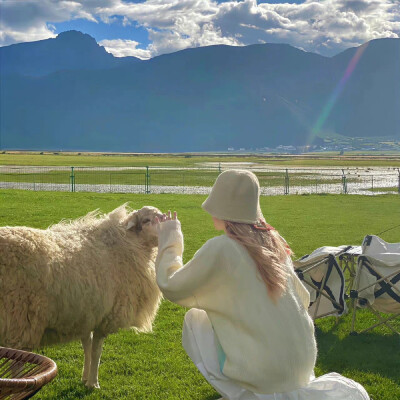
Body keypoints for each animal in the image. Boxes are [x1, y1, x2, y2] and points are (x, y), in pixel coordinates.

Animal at [0, 203, 163, 388]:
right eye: (147, 220)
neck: (128, 243)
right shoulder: (104, 318)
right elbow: (96, 351)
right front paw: (93, 383)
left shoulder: (86, 314)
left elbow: (87, 345)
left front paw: (85, 378)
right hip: (18, 320)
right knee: (16, 365)